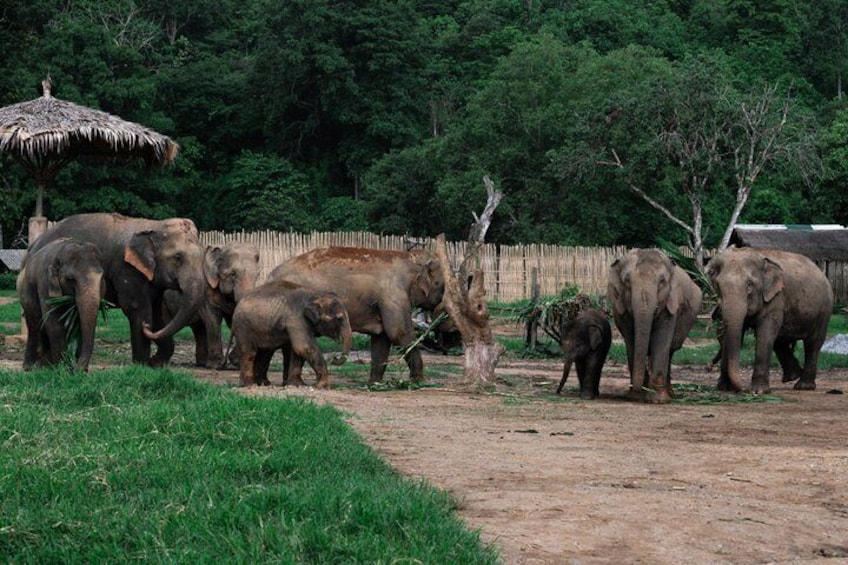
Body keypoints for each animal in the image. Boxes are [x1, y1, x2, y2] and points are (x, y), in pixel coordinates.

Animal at [16, 237, 105, 372]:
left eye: (101, 278)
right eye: (71, 279)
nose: (78, 369)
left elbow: (77, 323)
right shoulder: (45, 282)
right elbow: (54, 321)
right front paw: (63, 368)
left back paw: (44, 365)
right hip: (26, 293)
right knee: (34, 324)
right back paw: (30, 367)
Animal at [27, 213, 207, 365]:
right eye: (178, 257)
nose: (146, 326)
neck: (153, 225)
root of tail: (33, 245)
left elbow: (157, 315)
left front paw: (154, 363)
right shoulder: (127, 270)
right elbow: (137, 309)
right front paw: (141, 365)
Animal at [268, 246, 445, 384]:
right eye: (442, 285)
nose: (334, 358)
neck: (409, 257)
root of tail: (270, 275)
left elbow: (381, 338)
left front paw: (375, 384)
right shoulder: (393, 294)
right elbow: (398, 333)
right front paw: (418, 382)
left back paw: (288, 383)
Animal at [607, 248, 703, 403]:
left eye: (662, 282)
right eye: (627, 282)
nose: (638, 389)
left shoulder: (671, 303)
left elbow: (661, 338)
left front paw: (657, 400)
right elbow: (631, 340)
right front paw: (636, 397)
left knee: (670, 351)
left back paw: (669, 394)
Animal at [705, 246, 833, 394]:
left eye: (750, 285)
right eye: (718, 286)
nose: (708, 367)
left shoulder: (776, 297)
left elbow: (764, 334)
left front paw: (758, 391)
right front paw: (723, 388)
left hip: (824, 310)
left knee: (813, 343)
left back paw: (803, 386)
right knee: (780, 340)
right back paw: (793, 376)